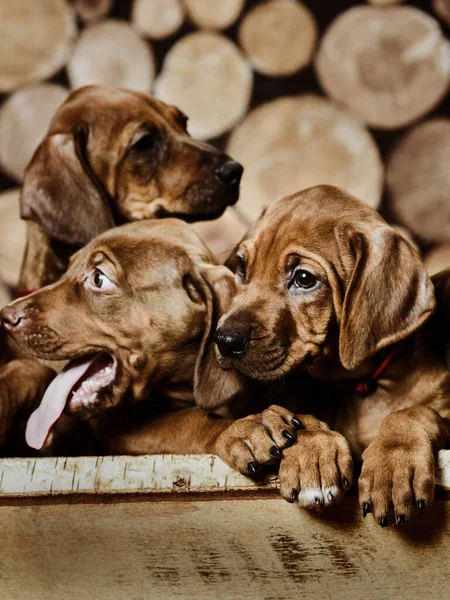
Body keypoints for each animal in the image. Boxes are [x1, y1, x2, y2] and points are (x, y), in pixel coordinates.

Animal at [194, 186, 450, 524]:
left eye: (304, 279)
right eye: (241, 268)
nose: (224, 340)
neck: (363, 385)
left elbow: (414, 412)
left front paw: (394, 463)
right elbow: (297, 413)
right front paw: (313, 452)